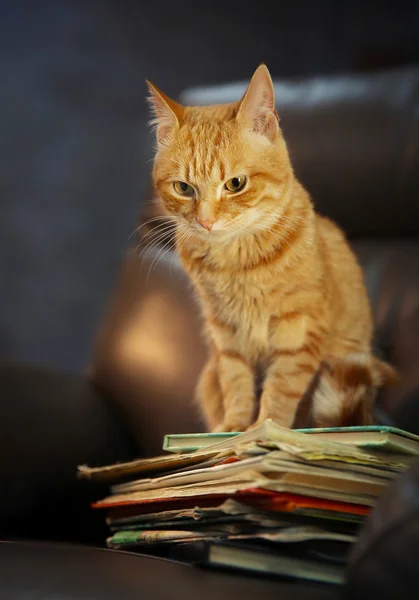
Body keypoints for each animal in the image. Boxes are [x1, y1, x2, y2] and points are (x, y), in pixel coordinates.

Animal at [147, 64, 398, 432]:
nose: (205, 221)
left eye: (235, 184)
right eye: (183, 188)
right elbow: (235, 382)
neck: (236, 262)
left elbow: (280, 391)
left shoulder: (299, 330)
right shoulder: (224, 333)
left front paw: (263, 430)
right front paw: (235, 429)